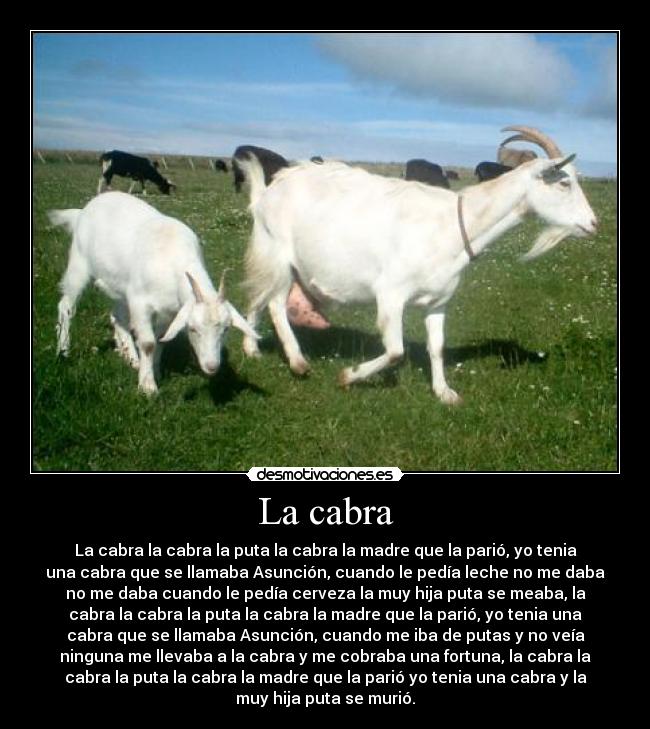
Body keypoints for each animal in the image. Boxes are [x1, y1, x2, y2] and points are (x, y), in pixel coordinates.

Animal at [50, 191, 258, 395]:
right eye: (192, 329)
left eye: (226, 329)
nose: (212, 366)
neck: (173, 258)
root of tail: (83, 211)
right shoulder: (140, 303)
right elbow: (149, 343)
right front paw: (148, 386)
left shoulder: (170, 312)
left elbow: (161, 340)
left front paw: (154, 371)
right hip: (79, 263)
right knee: (66, 306)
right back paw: (64, 350)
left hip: (120, 287)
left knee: (118, 316)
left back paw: (130, 356)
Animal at [239, 126, 597, 405]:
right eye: (564, 182)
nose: (593, 224)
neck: (454, 224)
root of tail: (268, 191)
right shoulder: (390, 295)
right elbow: (396, 350)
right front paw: (348, 376)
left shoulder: (439, 301)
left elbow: (436, 347)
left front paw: (444, 393)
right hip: (277, 253)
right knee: (273, 302)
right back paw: (297, 361)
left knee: (259, 295)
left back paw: (252, 348)